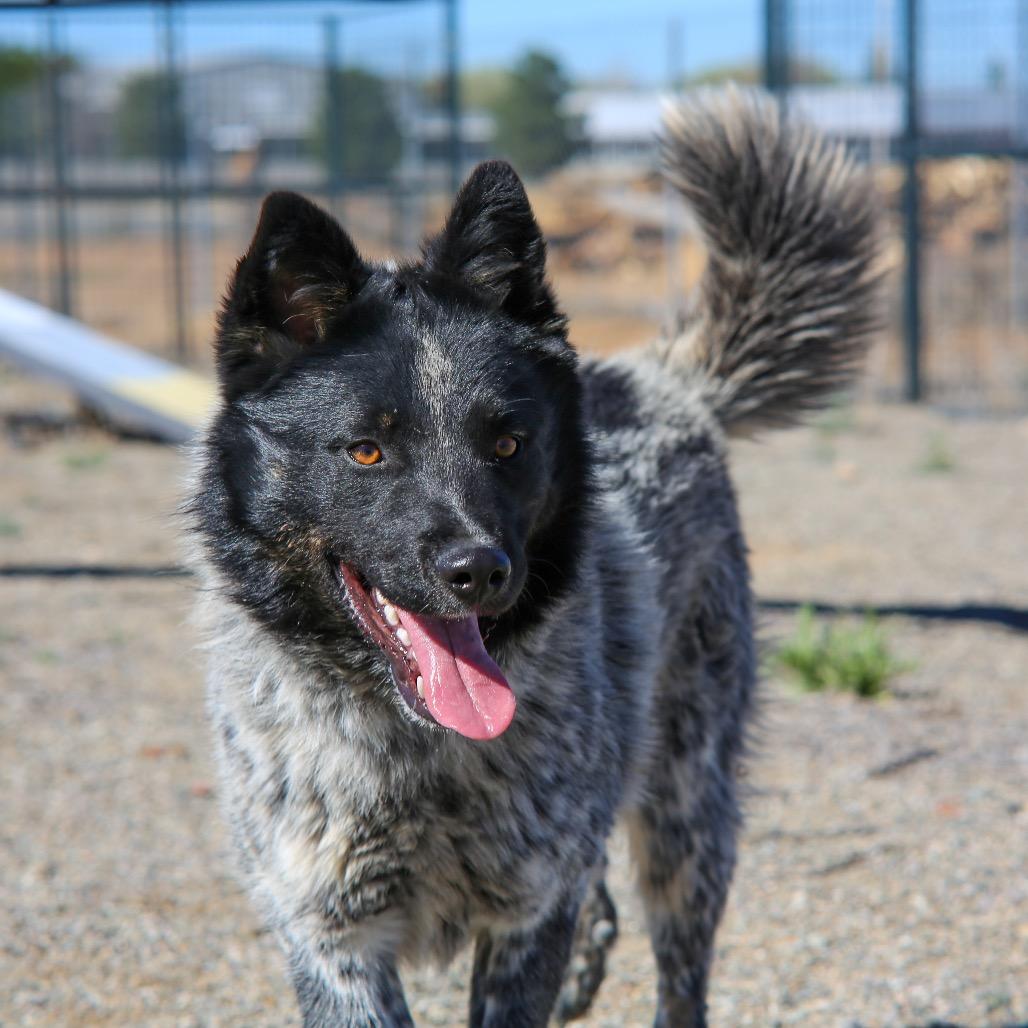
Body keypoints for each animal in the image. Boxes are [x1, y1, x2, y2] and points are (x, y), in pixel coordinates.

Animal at [189, 89, 879, 1026]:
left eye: (507, 444)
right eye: (367, 450)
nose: (479, 572)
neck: (418, 755)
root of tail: (665, 380)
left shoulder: (525, 916)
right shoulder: (332, 939)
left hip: (688, 815)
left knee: (680, 967)